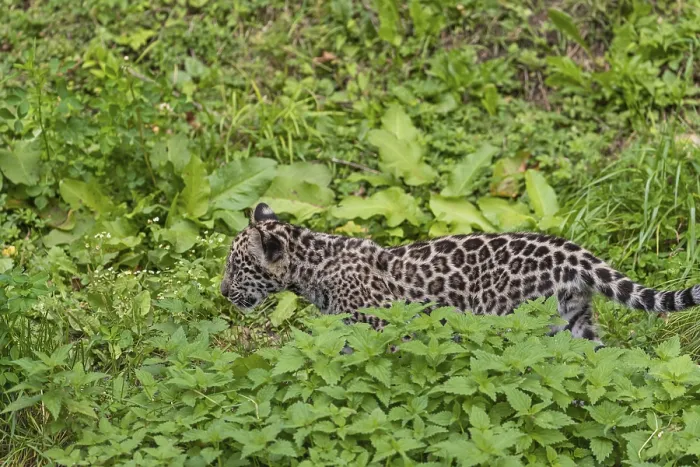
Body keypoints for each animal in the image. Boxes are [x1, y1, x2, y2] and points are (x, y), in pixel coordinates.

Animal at [220, 203, 700, 344]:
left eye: (236, 266)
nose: (223, 291)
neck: (315, 260)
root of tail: (573, 252)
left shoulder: (382, 327)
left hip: (510, 321)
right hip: (573, 323)